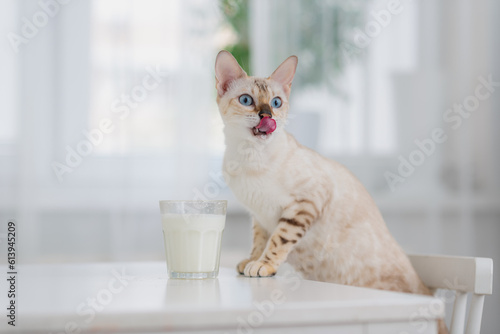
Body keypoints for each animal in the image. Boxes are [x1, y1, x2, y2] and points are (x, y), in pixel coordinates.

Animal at [213, 50, 448, 334]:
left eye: (276, 103)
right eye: (247, 100)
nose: (267, 115)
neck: (247, 159)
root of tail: (429, 296)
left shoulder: (306, 202)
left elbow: (278, 240)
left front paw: (263, 265)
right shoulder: (259, 215)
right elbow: (259, 241)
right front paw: (250, 260)